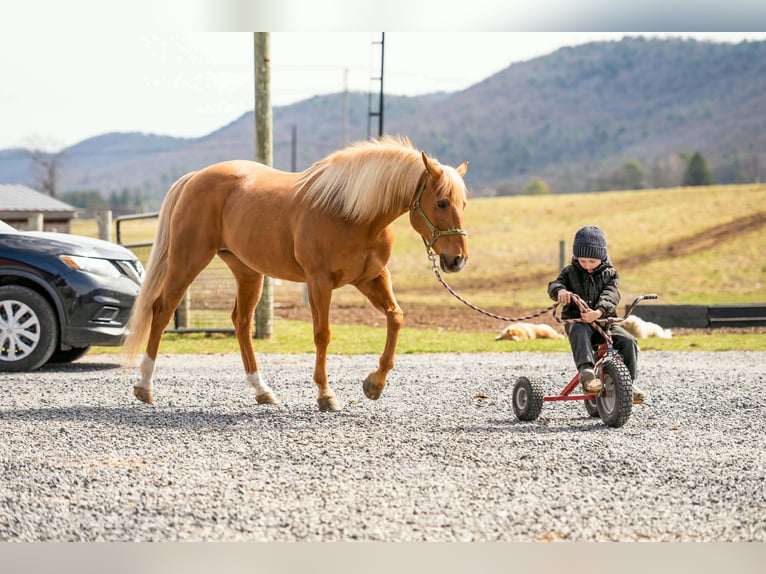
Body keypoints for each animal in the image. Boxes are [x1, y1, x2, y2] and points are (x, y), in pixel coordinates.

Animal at [123, 136, 470, 411]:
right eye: (441, 202)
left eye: (463, 203)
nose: (457, 260)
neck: (353, 213)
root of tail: (195, 177)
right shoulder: (319, 282)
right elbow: (323, 334)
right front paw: (326, 395)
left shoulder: (371, 278)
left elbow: (395, 317)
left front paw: (374, 384)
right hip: (187, 261)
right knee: (162, 309)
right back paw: (144, 386)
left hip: (248, 272)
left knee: (241, 322)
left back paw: (262, 390)